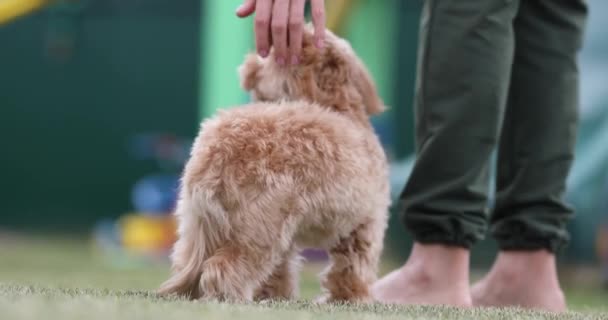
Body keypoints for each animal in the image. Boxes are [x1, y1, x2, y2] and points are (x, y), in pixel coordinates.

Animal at [158, 26, 390, 302]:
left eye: (271, 55)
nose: (248, 66)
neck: (338, 107)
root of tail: (219, 150)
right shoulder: (364, 224)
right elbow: (352, 267)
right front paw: (350, 298)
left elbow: (280, 270)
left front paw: (275, 295)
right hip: (260, 227)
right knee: (223, 267)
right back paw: (231, 298)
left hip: (199, 224)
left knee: (189, 264)